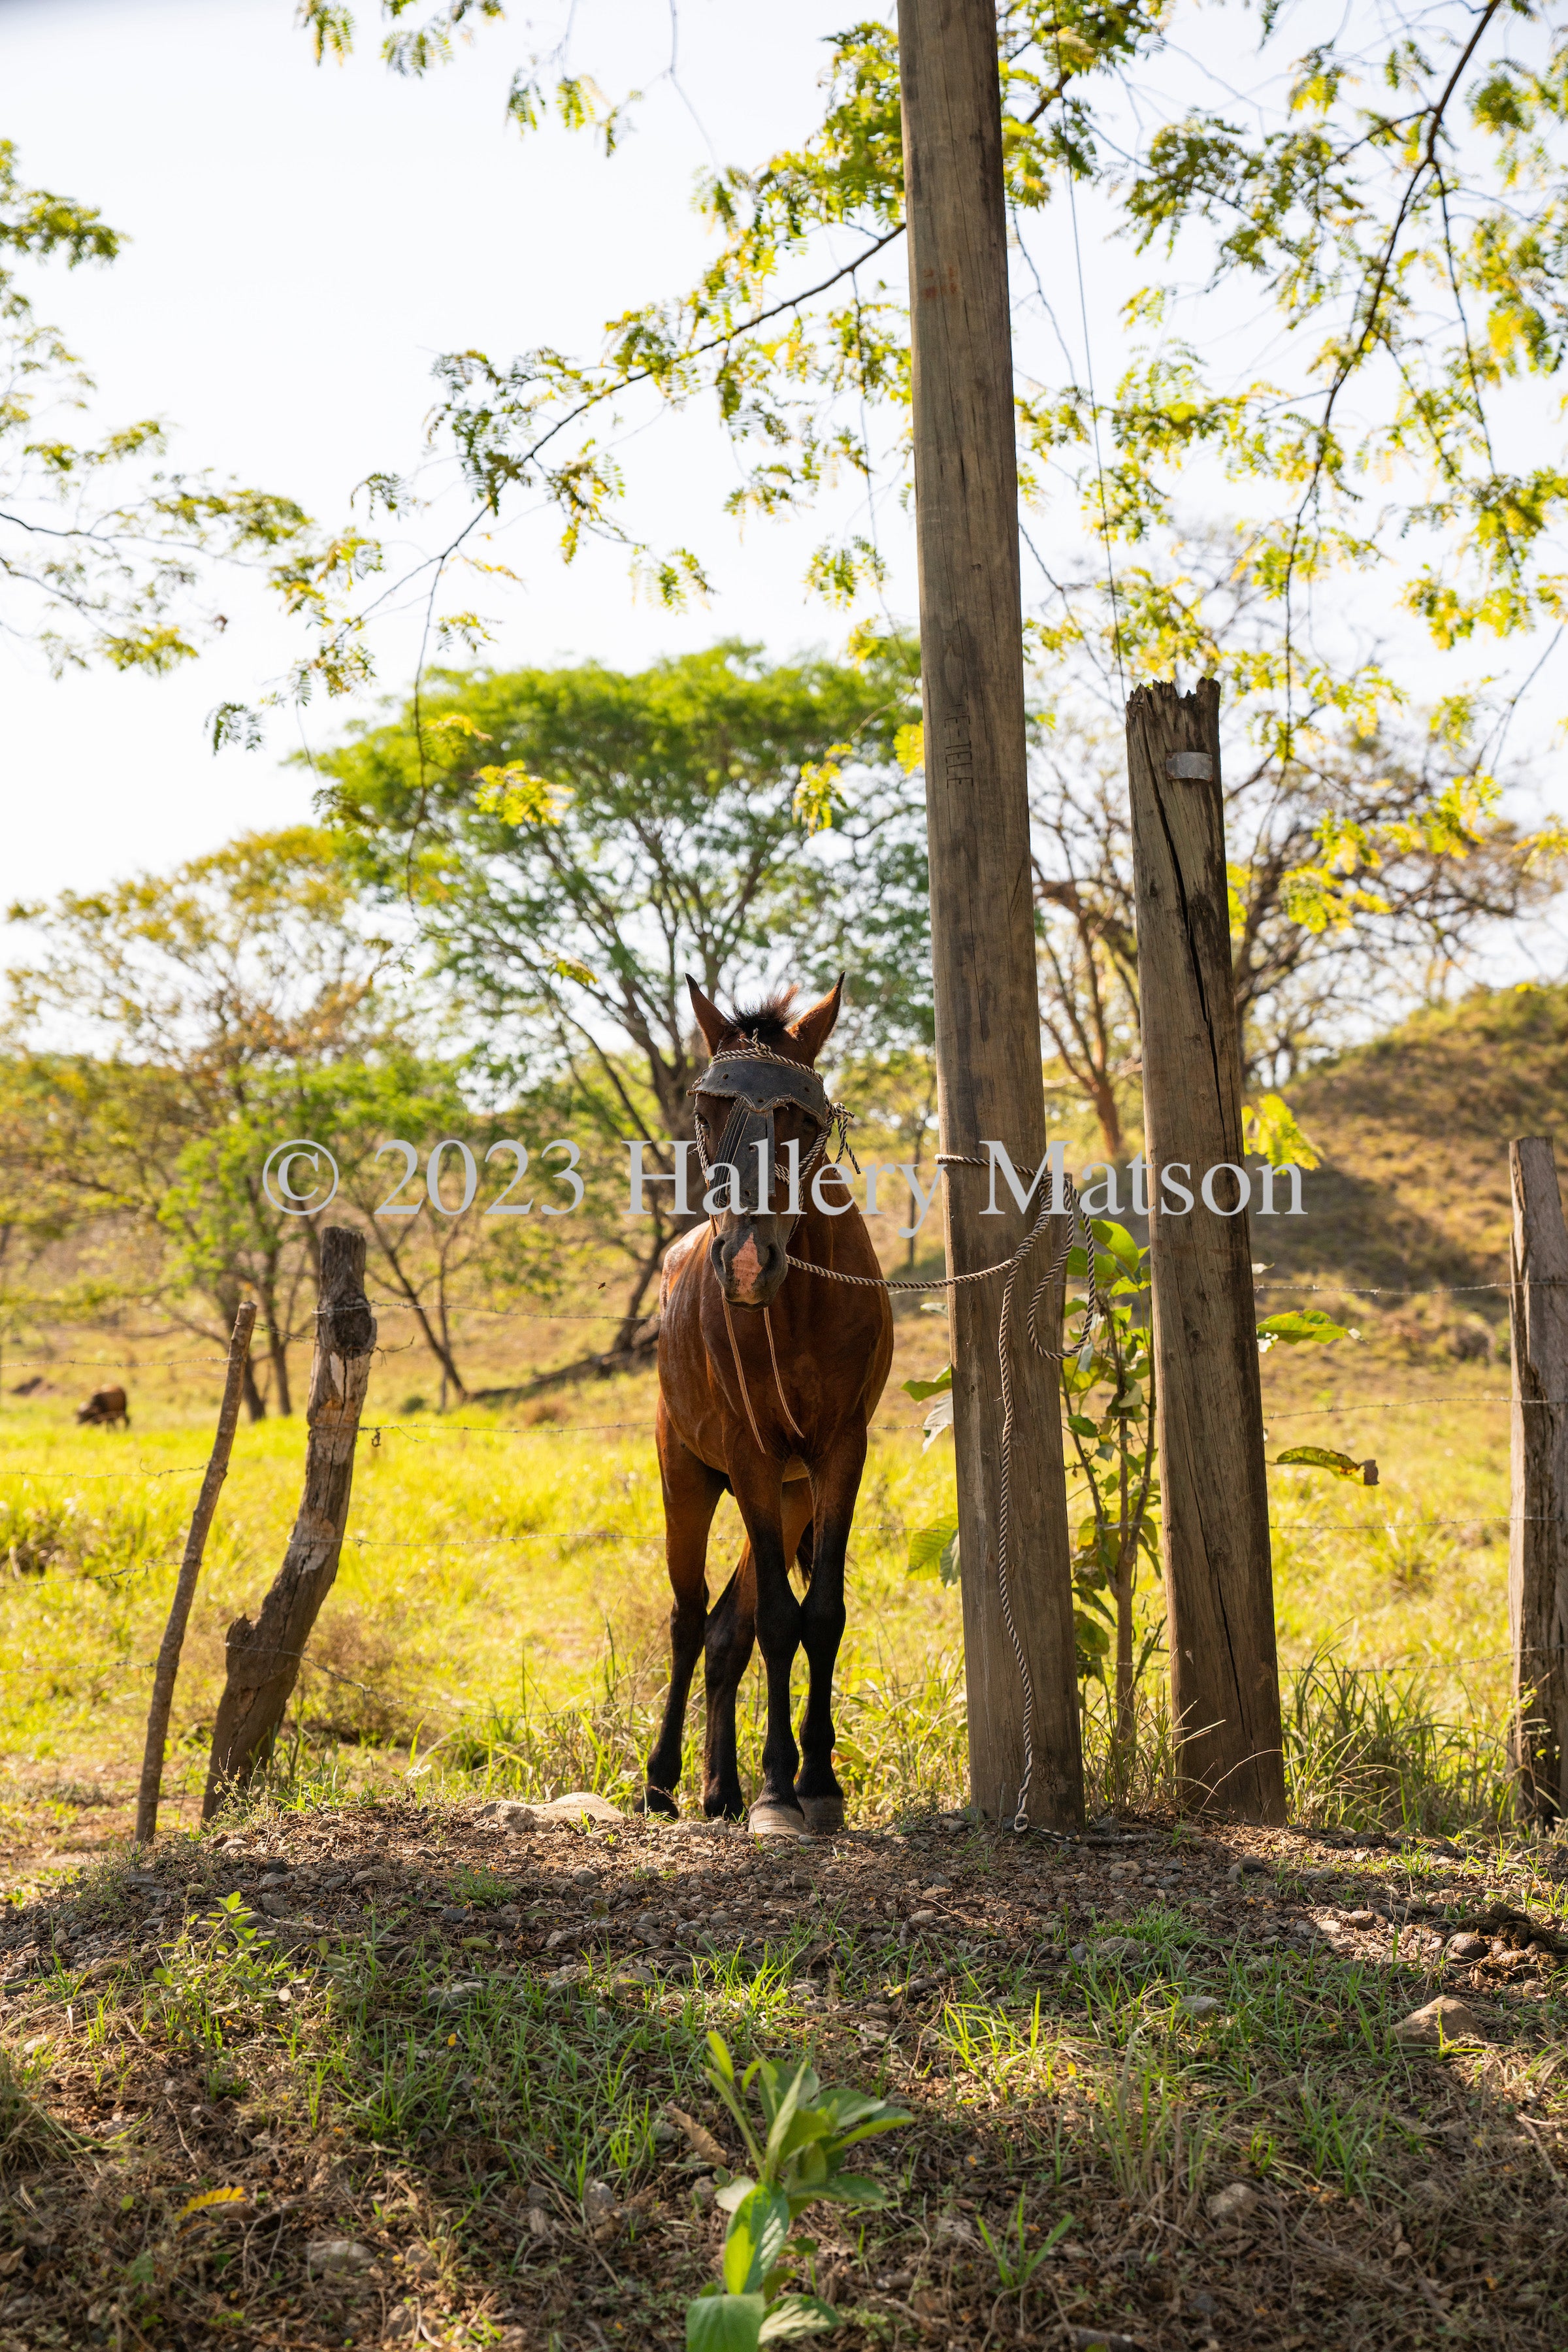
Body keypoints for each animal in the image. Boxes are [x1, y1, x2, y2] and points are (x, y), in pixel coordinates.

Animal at [639, 973, 893, 1835]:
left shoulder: (837, 1456)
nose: (747, 1261)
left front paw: (818, 1780)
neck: (794, 1308)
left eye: (800, 1118)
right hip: (687, 1476)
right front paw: (781, 1788)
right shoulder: (750, 1455)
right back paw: (663, 1779)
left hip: (786, 1500)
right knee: (688, 1621)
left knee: (726, 1631)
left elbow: (821, 1613)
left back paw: (720, 1788)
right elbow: (782, 1622)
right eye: (706, 1110)